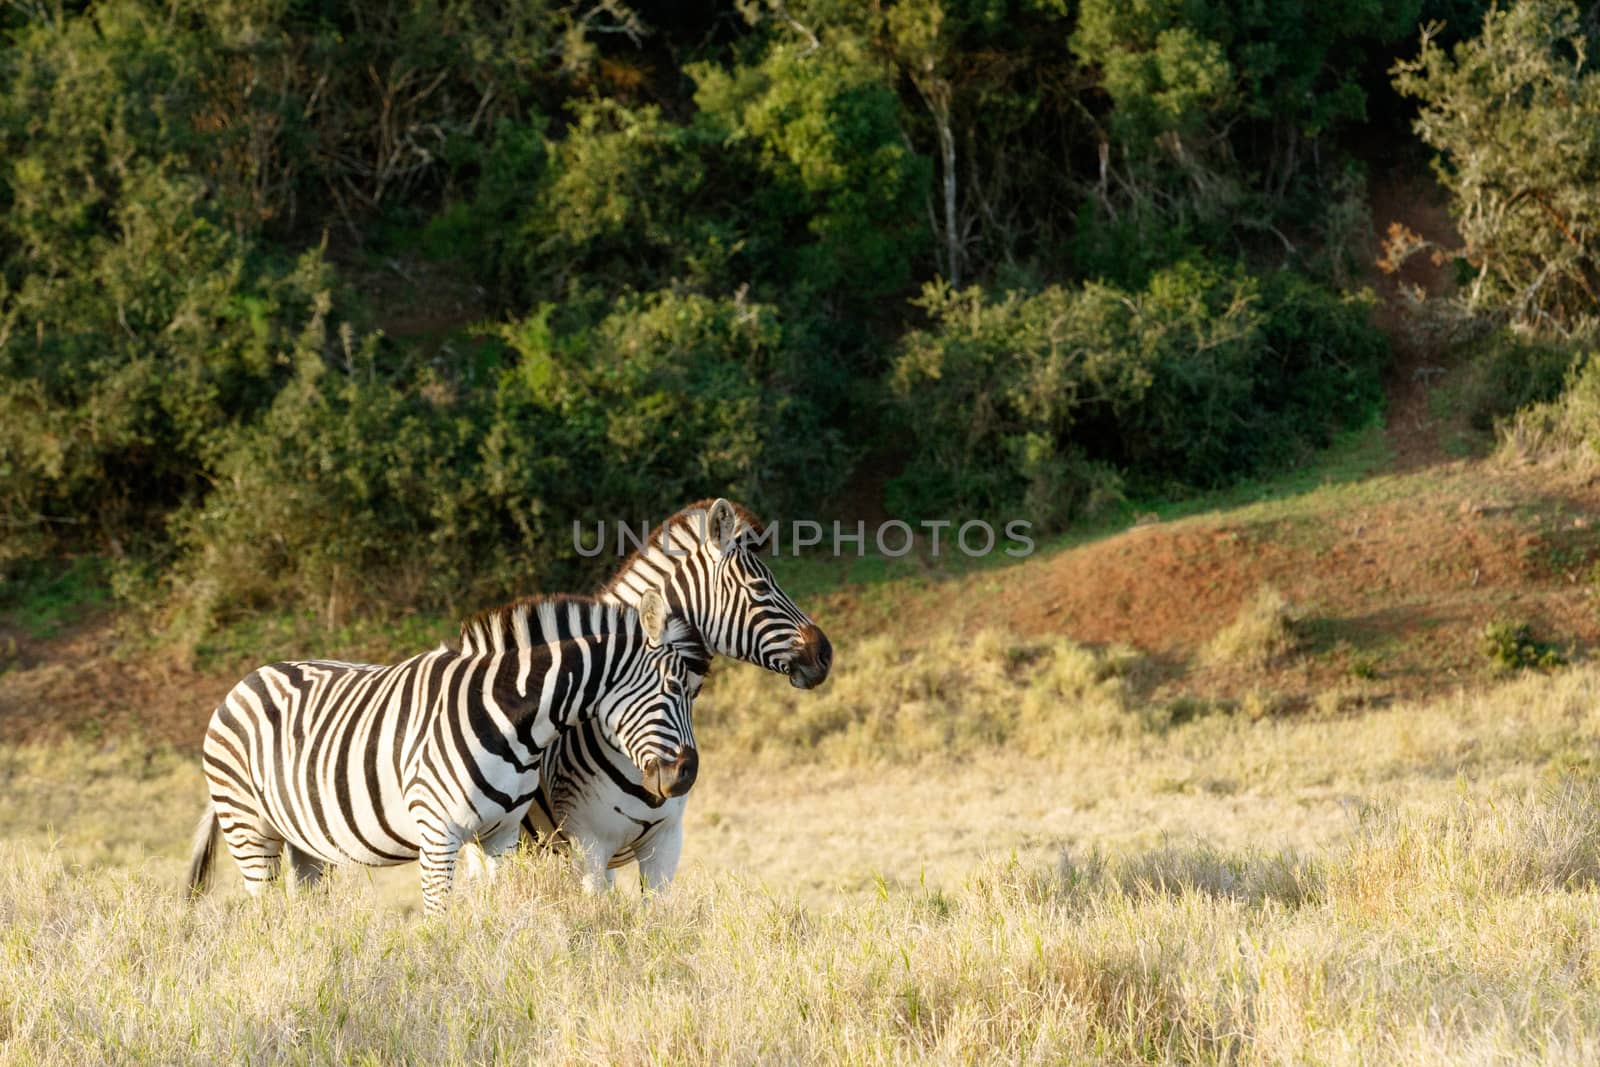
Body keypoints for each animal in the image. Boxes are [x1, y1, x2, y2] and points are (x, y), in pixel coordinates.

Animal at [184, 588, 697, 915]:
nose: (687, 776)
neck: (514, 720)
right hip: (248, 827)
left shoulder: (500, 837)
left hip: (302, 838)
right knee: (267, 913)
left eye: (693, 690)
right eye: (674, 688)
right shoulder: (438, 834)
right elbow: (439, 919)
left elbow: (493, 910)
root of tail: (245, 682)